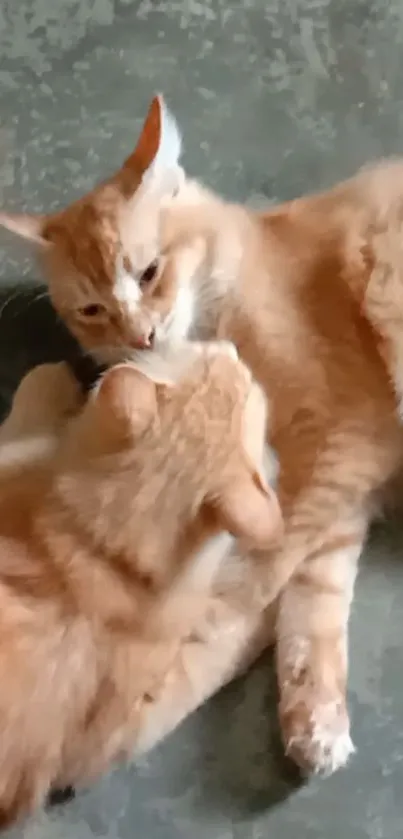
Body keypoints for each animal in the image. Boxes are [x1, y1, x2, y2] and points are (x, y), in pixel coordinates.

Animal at [0, 92, 403, 776]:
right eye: (93, 310)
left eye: (149, 273)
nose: (140, 337)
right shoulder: (341, 488)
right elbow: (313, 600)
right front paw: (314, 716)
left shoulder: (341, 443)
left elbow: (248, 583)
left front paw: (153, 694)